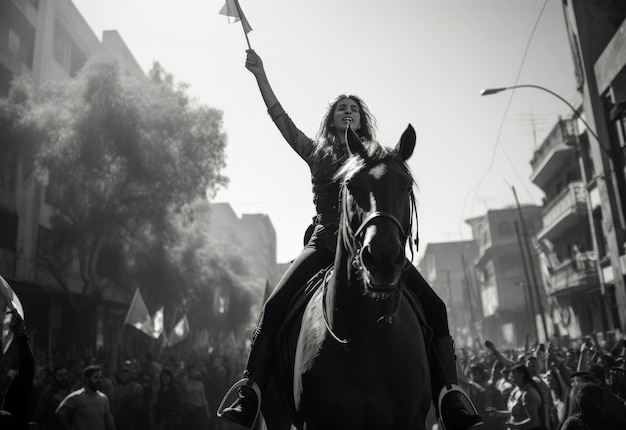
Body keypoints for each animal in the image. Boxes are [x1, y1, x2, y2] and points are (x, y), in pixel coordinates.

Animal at [260, 122, 432, 428]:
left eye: (406, 185)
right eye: (352, 185)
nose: (382, 257)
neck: (364, 341)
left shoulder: (412, 420)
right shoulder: (315, 421)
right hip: (274, 412)